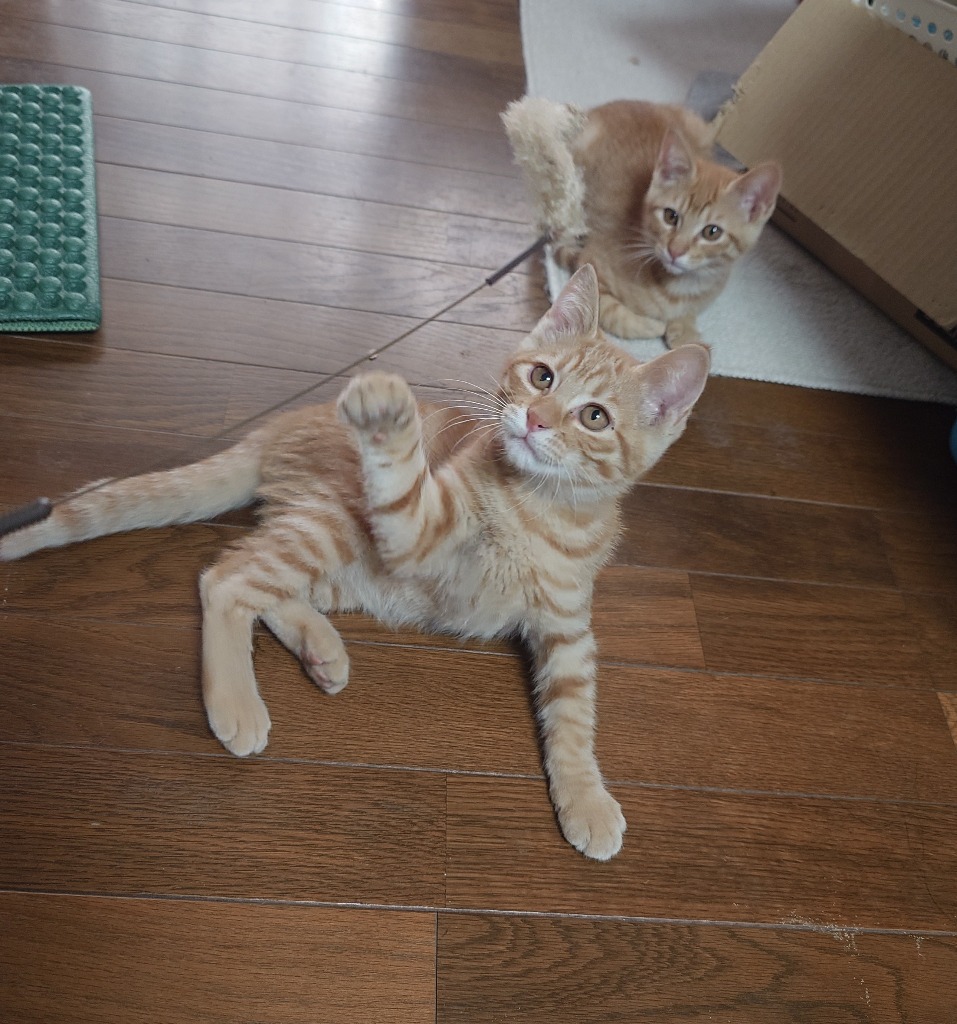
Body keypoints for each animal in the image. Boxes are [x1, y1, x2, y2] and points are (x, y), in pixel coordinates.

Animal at [0, 265, 710, 862]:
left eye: (594, 417)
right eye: (541, 377)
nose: (534, 420)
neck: (539, 511)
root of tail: (273, 432)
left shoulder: (568, 630)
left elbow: (575, 716)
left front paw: (586, 798)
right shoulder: (417, 530)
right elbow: (402, 483)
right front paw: (393, 419)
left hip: (350, 565)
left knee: (261, 575)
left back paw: (320, 648)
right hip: (341, 523)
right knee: (226, 575)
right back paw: (237, 701)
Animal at [553, 99, 782, 348]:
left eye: (712, 232)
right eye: (670, 216)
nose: (675, 251)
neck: (680, 288)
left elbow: (688, 315)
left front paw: (686, 333)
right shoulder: (592, 263)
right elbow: (611, 312)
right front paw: (652, 325)